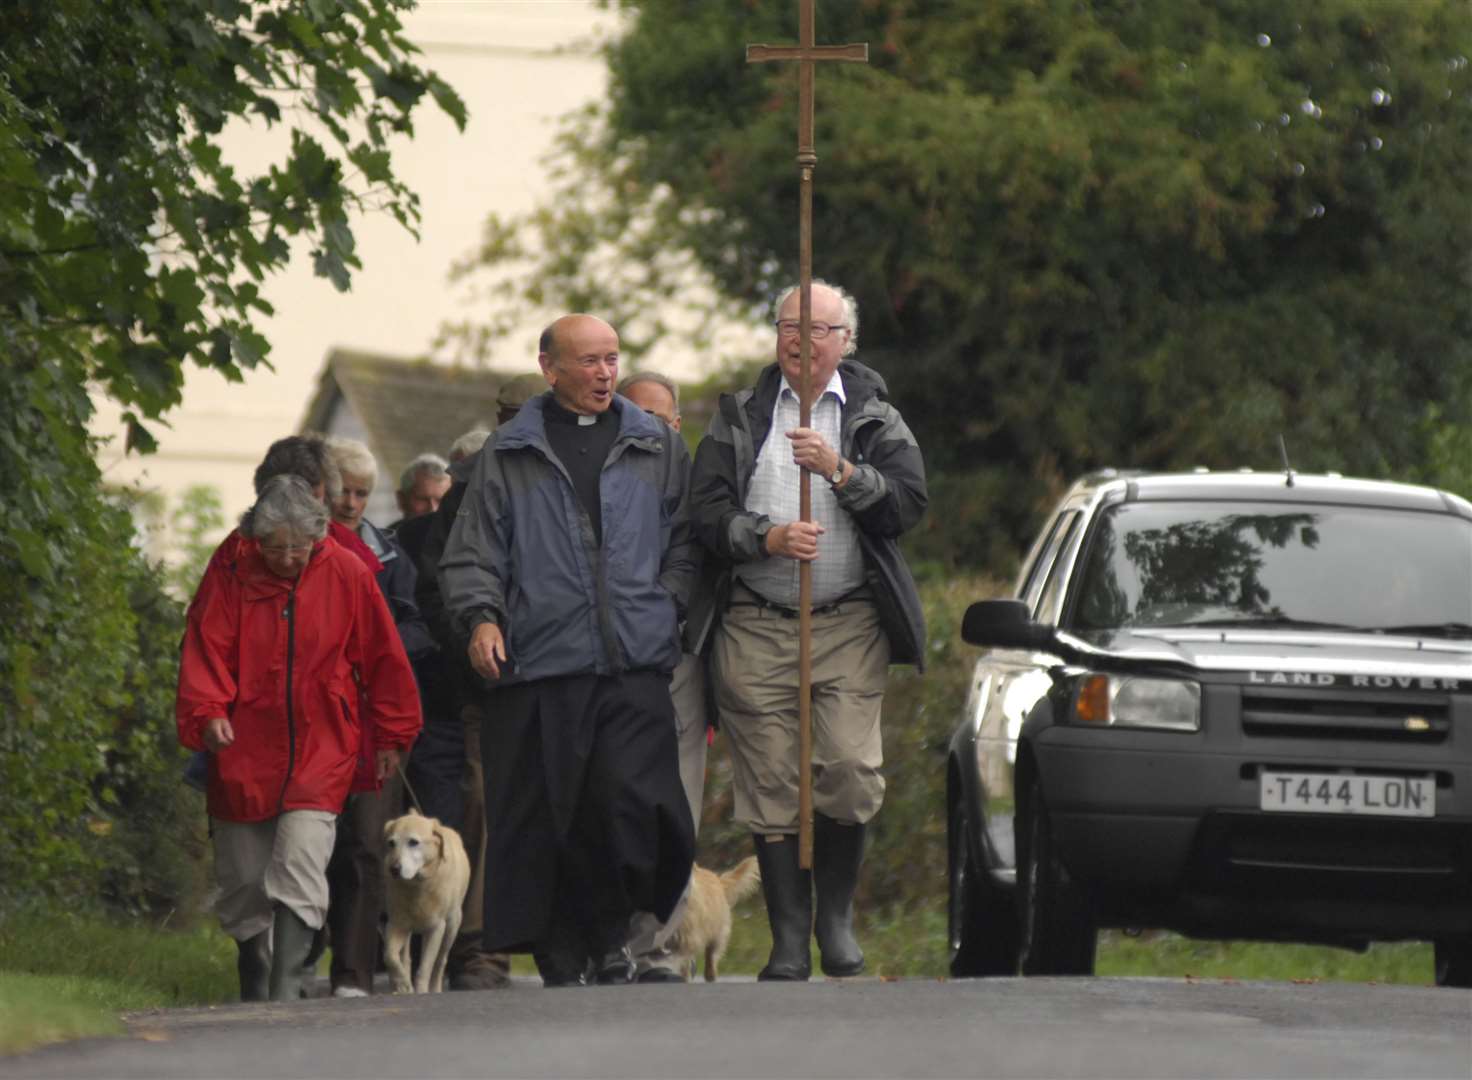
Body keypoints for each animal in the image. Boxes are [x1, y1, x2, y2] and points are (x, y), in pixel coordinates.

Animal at [382, 812, 468, 1000]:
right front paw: (402, 983)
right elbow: (390, 956)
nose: (394, 869)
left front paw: (421, 990)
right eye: (391, 843)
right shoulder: (396, 925)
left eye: (413, 842)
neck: (417, 887)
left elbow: (426, 967)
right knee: (405, 958)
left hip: (452, 926)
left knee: (440, 962)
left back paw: (435, 987)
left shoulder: (436, 928)